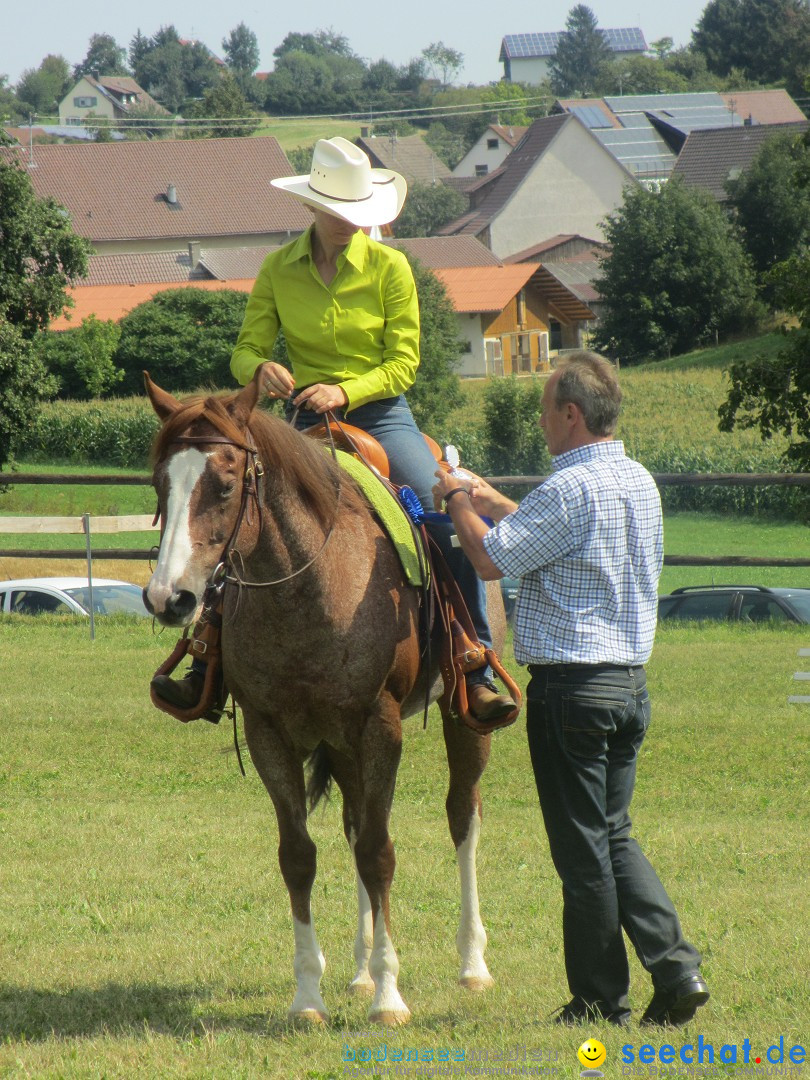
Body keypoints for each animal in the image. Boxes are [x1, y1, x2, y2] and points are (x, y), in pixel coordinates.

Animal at [142, 371, 505, 1028]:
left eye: (225, 483)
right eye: (161, 483)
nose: (168, 598)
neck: (310, 584)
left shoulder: (379, 726)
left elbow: (380, 854)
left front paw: (390, 997)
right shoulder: (270, 732)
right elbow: (301, 856)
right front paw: (309, 996)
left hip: (462, 720)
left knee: (462, 816)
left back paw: (471, 965)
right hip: (339, 745)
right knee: (355, 823)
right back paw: (359, 973)